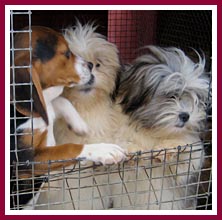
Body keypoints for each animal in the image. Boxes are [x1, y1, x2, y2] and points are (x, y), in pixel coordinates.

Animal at [10, 26, 125, 209]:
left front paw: (80, 125)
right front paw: (104, 150)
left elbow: (59, 101)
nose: (90, 65)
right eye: (66, 53)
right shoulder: (27, 160)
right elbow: (68, 148)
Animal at [35, 22, 210, 210]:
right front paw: (132, 151)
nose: (186, 116)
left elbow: (186, 160)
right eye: (171, 96)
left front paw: (170, 148)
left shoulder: (182, 166)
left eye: (96, 64)